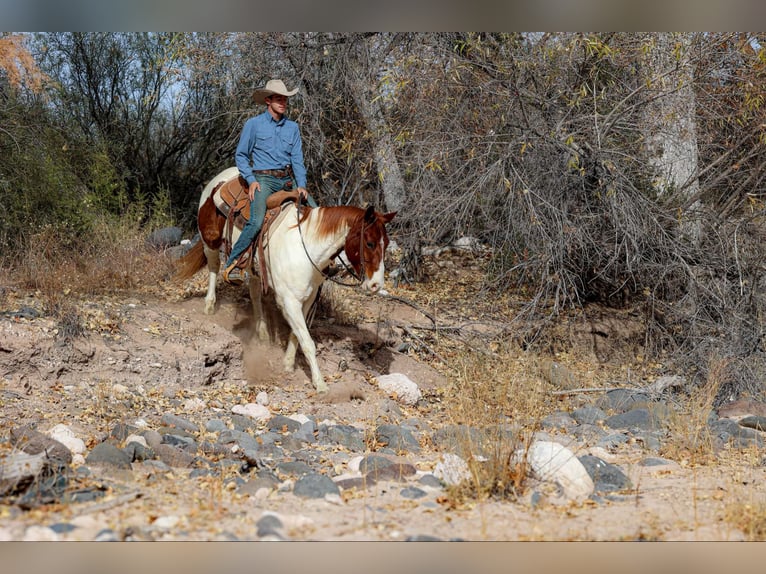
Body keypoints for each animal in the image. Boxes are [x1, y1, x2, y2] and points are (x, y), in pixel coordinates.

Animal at [176, 167, 396, 394]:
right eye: (369, 243)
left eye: (387, 243)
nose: (376, 285)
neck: (307, 245)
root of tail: (222, 176)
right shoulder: (289, 301)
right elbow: (307, 341)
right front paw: (320, 383)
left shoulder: (307, 299)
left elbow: (297, 335)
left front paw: (288, 363)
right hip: (210, 241)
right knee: (213, 268)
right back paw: (209, 306)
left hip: (254, 266)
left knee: (255, 291)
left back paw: (262, 331)